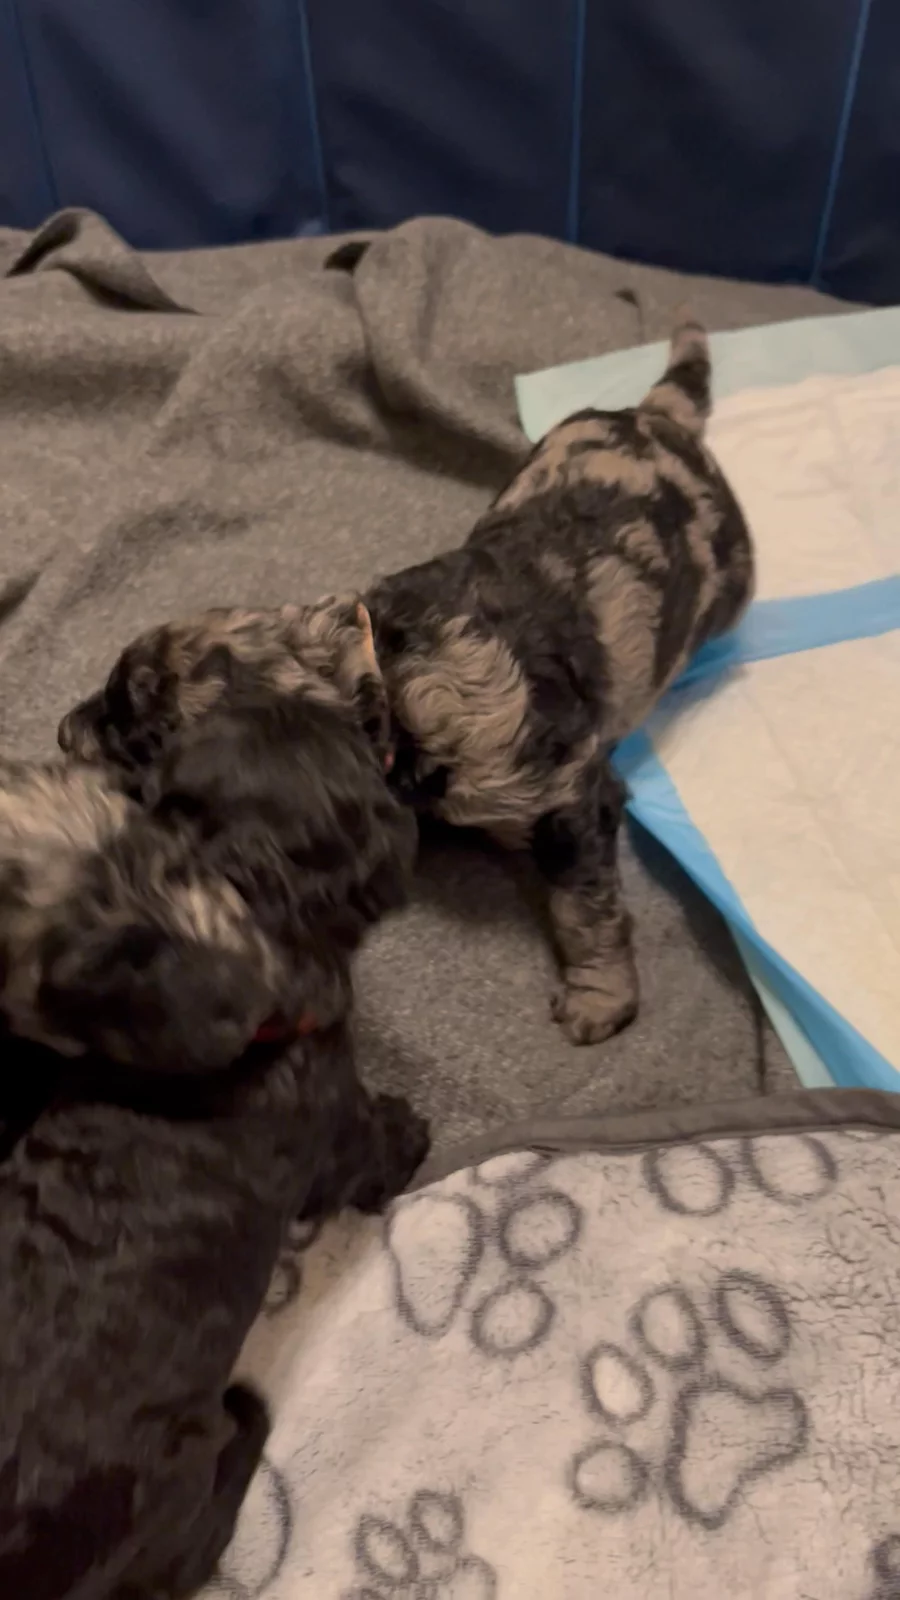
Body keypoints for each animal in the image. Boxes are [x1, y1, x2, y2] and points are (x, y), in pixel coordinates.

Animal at [0, 728, 427, 1598]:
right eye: (351, 755)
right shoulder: (334, 1127)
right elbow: (370, 1151)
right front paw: (413, 1136)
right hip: (171, 1477)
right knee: (195, 1549)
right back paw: (248, 1424)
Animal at [59, 323, 753, 1046]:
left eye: (137, 735)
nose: (60, 732)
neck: (387, 675)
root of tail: (656, 417)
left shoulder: (571, 796)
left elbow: (585, 904)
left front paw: (599, 999)